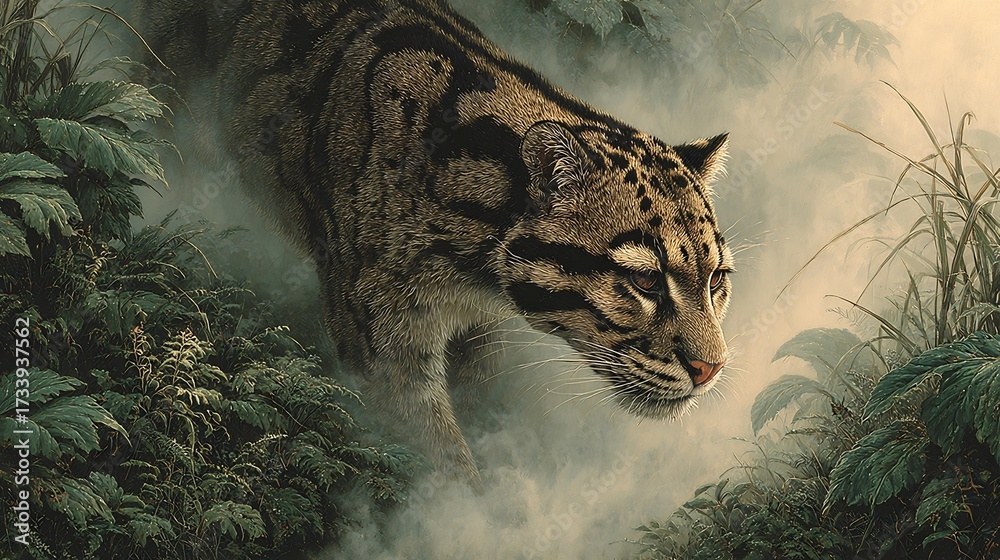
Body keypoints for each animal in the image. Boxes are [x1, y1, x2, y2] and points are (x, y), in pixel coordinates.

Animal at [139, 0, 735, 486]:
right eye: (643, 281)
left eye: (717, 280)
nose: (711, 370)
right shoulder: (382, 347)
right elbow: (436, 456)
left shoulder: (479, 330)